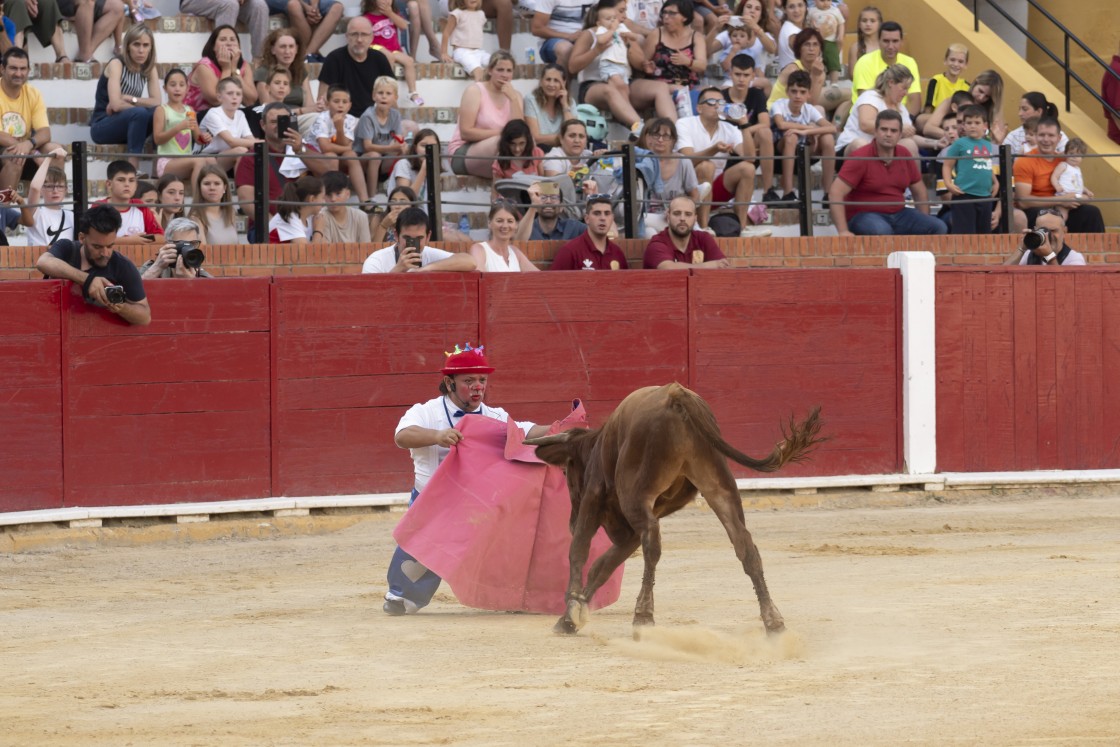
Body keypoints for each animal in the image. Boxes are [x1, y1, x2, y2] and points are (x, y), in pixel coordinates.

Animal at [524, 385, 824, 636]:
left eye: (566, 471)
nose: (570, 521)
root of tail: (676, 395)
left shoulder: (594, 499)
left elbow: (580, 551)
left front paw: (571, 613)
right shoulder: (630, 529)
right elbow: (603, 565)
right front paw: (575, 612)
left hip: (636, 495)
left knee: (652, 544)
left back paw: (643, 616)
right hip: (718, 485)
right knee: (745, 545)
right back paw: (773, 621)